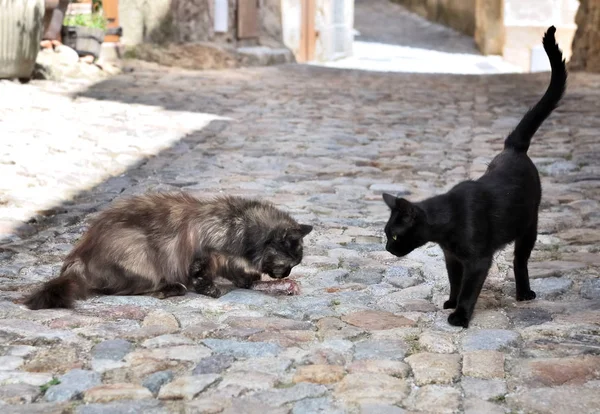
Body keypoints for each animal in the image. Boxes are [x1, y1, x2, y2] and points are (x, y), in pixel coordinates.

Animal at [23, 192, 314, 308]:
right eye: (288, 264)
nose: (286, 274)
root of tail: (78, 256)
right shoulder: (206, 254)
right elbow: (202, 275)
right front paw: (210, 291)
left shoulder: (235, 267)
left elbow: (250, 282)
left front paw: (285, 286)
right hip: (139, 253)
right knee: (120, 290)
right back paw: (170, 289)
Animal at [382, 26, 564, 330]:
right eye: (386, 235)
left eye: (394, 236)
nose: (386, 248)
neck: (445, 228)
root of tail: (513, 148)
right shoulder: (452, 258)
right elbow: (455, 282)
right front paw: (451, 301)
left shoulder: (478, 260)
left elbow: (469, 288)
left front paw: (460, 315)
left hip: (529, 226)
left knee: (520, 261)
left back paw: (524, 294)